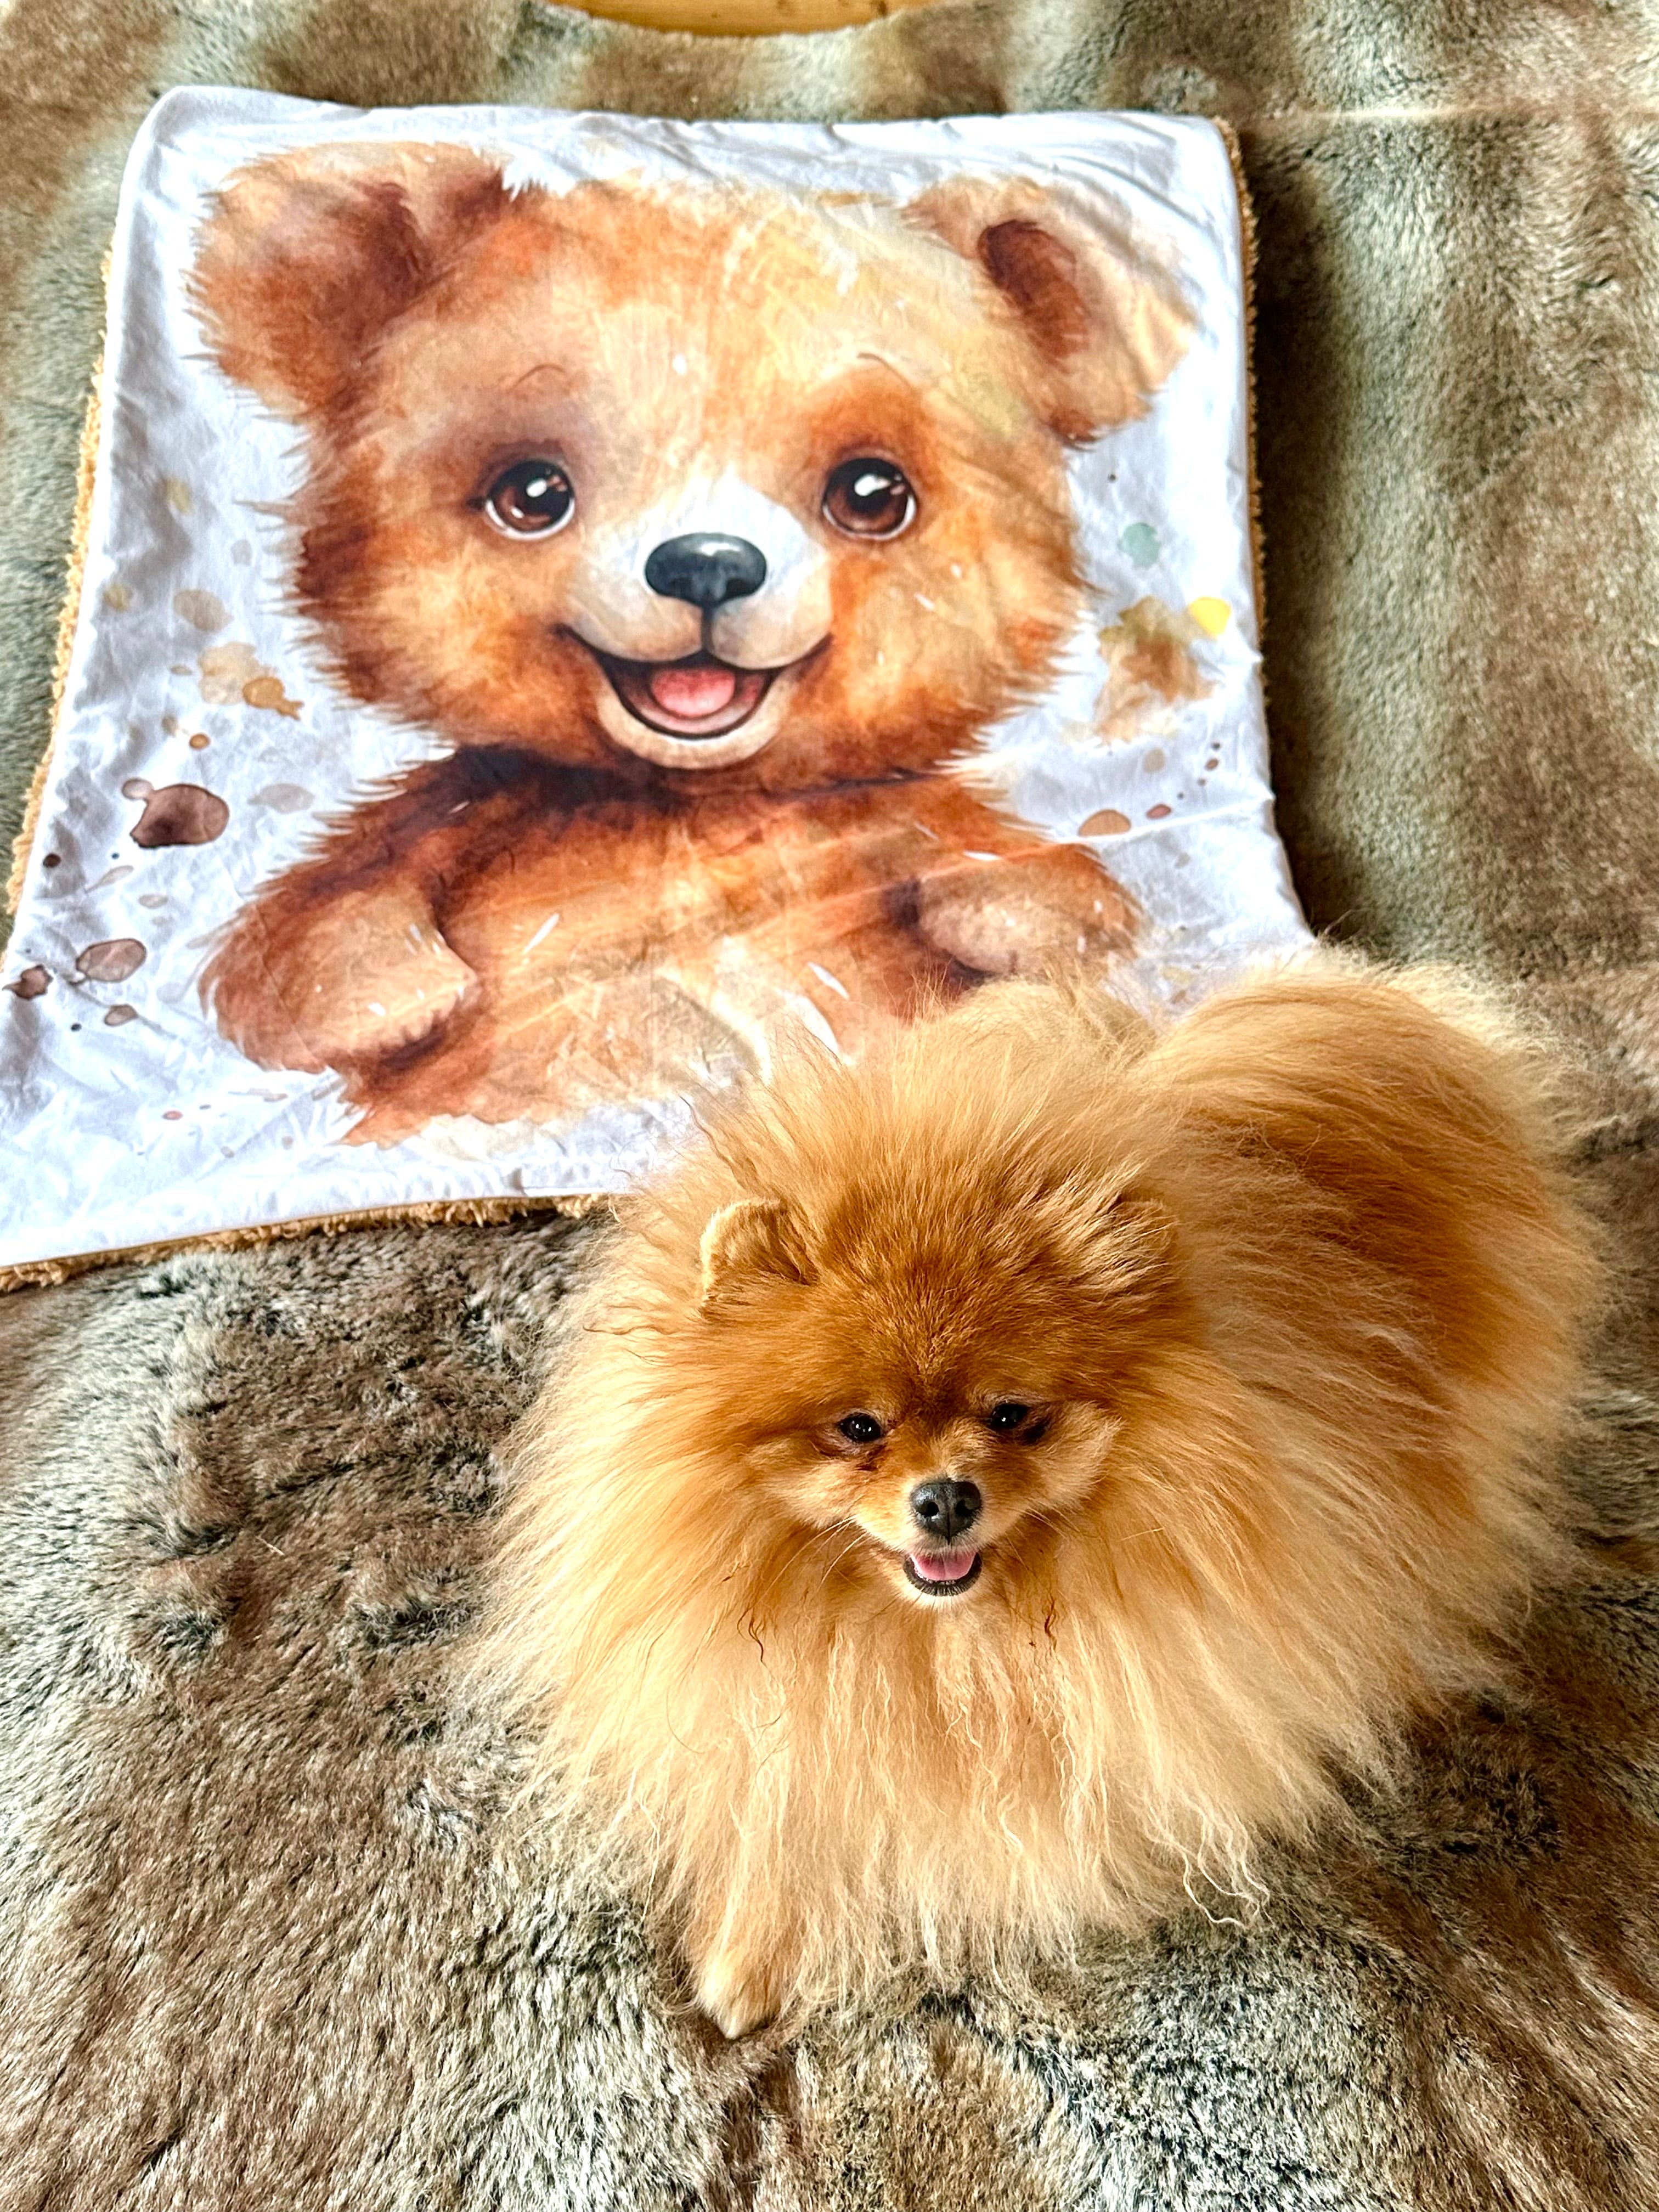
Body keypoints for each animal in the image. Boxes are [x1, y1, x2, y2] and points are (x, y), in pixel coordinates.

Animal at [189, 144, 1192, 1144]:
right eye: (531, 493)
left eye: (872, 494)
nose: (707, 565)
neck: (687, 807)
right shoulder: (466, 817)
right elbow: (301, 944)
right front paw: (392, 990)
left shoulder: (888, 825)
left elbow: (1048, 891)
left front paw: (1010, 913)